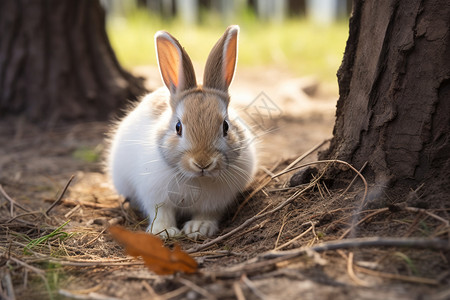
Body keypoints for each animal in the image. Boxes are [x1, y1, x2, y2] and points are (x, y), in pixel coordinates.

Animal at [106, 25, 256, 240]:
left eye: (226, 126)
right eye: (178, 127)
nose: (203, 162)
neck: (197, 178)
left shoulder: (215, 203)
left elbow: (207, 213)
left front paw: (199, 229)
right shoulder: (155, 196)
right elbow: (161, 212)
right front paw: (163, 232)